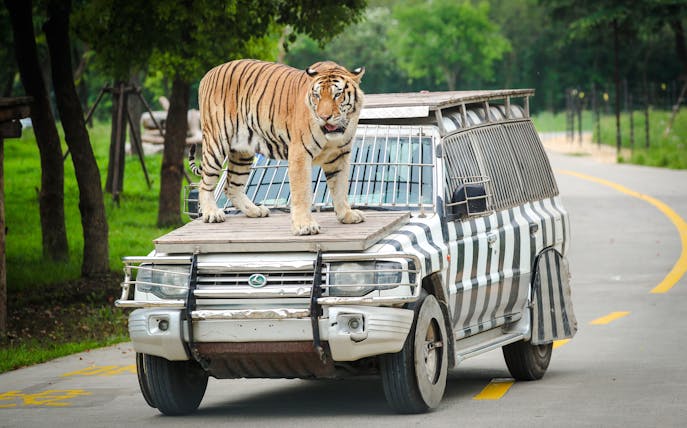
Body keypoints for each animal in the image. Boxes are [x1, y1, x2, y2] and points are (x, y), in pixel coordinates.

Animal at [189, 59, 366, 235]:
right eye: (317, 96)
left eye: (337, 95)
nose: (324, 117)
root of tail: (209, 73)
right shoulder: (300, 153)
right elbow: (302, 192)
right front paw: (305, 225)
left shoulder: (339, 155)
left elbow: (340, 188)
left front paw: (347, 215)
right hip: (216, 141)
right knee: (204, 183)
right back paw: (212, 213)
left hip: (242, 151)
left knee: (232, 186)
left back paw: (256, 210)